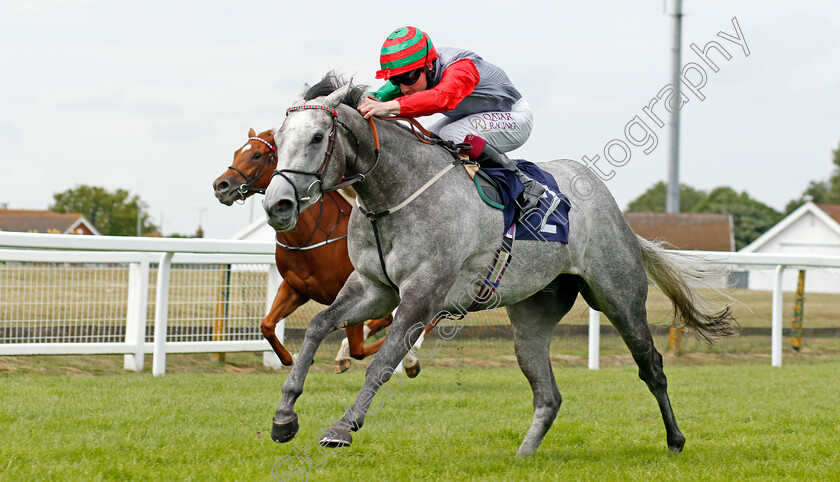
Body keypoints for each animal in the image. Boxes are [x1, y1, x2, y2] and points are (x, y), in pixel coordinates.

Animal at [212, 130, 418, 374]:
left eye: (256, 155)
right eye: (237, 152)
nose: (221, 185)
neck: (312, 235)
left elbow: (360, 347)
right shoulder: (295, 288)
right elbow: (267, 325)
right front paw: (293, 357)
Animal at [262, 74, 736, 456]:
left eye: (317, 137)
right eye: (278, 139)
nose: (277, 205)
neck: (394, 195)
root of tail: (614, 211)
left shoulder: (421, 295)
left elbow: (382, 363)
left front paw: (343, 427)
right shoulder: (373, 289)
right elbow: (319, 326)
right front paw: (284, 416)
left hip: (618, 297)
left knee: (651, 365)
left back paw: (675, 440)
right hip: (532, 315)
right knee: (548, 394)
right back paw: (522, 456)